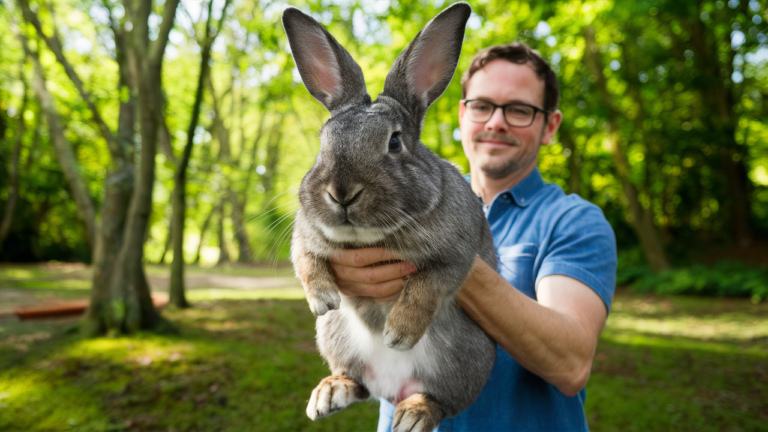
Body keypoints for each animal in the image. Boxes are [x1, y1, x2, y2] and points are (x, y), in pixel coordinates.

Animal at [282, 3, 497, 432]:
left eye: (394, 141)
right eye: (322, 143)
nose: (341, 193)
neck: (371, 235)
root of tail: (390, 387)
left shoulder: (456, 255)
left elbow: (427, 285)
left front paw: (398, 333)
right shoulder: (305, 238)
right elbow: (307, 262)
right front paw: (323, 299)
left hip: (467, 359)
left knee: (441, 399)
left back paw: (414, 413)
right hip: (335, 338)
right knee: (357, 383)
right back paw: (328, 395)